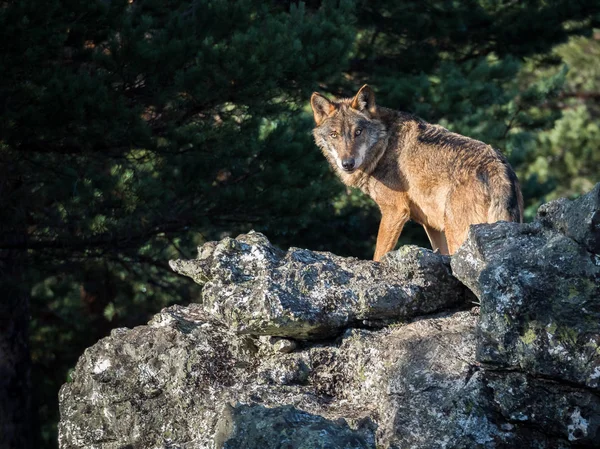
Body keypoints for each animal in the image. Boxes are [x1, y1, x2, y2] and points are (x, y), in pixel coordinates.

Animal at [312, 84, 524, 260]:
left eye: (358, 132)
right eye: (334, 135)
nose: (347, 163)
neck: (384, 145)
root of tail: (498, 168)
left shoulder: (395, 211)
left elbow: (378, 256)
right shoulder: (430, 224)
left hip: (459, 234)